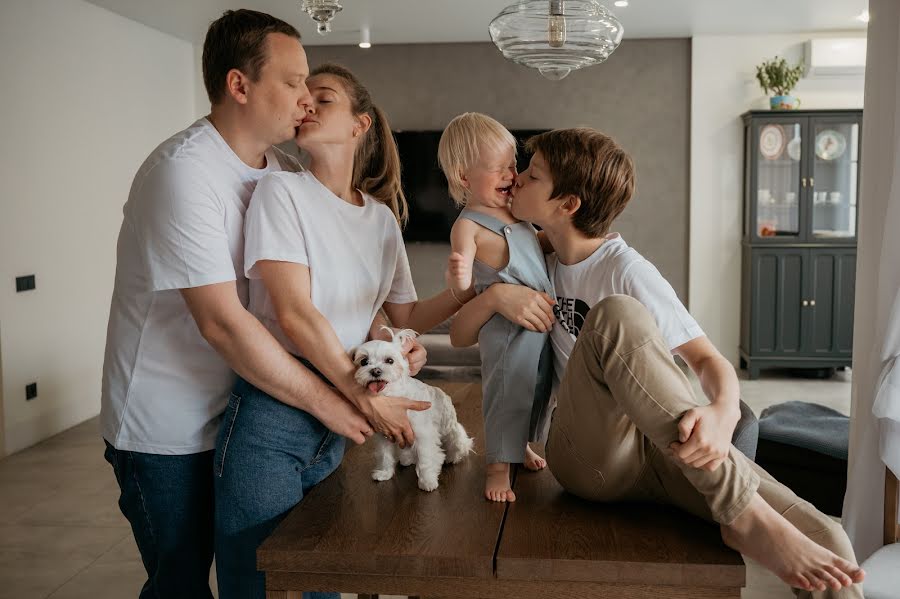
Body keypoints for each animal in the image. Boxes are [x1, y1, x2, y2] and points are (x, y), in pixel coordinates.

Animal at [352, 328, 474, 492]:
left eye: (390, 360)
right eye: (364, 361)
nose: (375, 371)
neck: (394, 397)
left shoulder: (423, 436)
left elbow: (426, 459)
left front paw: (427, 481)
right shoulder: (386, 436)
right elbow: (385, 456)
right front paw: (384, 473)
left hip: (450, 428)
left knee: (458, 442)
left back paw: (453, 457)